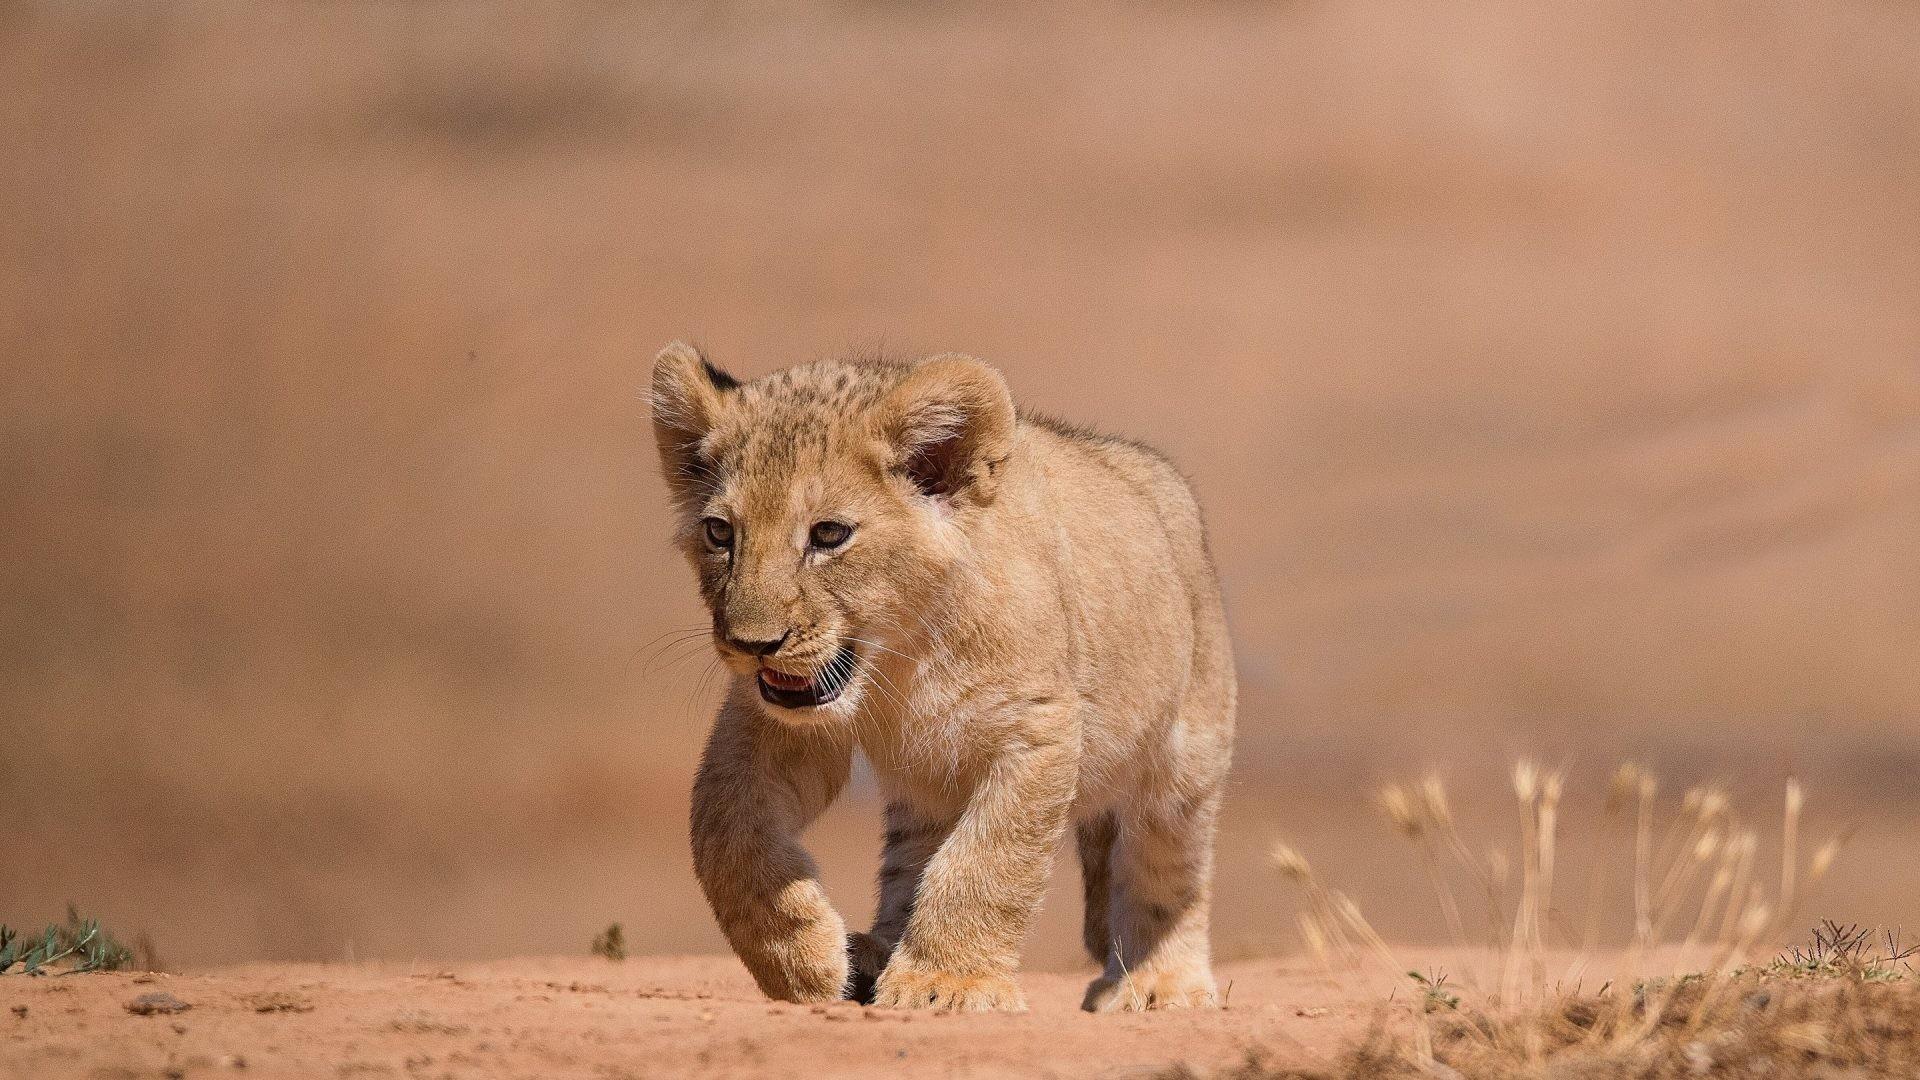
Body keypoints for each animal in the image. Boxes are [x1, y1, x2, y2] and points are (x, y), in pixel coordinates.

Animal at [651, 343, 1236, 1013]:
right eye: (721, 532)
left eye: (829, 534)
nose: (753, 645)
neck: (901, 658)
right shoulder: (775, 723)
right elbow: (725, 831)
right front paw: (802, 961)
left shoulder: (1036, 728)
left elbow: (987, 861)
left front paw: (945, 983)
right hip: (928, 784)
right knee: (911, 860)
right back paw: (871, 954)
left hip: (1186, 757)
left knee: (1168, 864)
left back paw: (1162, 982)